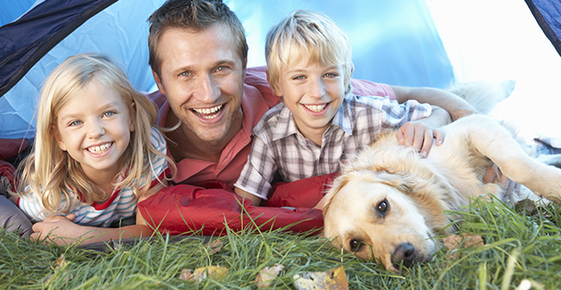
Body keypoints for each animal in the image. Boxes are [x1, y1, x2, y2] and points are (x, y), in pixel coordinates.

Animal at [322, 81, 560, 272]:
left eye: (382, 206)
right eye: (355, 244)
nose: (402, 257)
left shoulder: (473, 126)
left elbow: (516, 166)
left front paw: (554, 185)